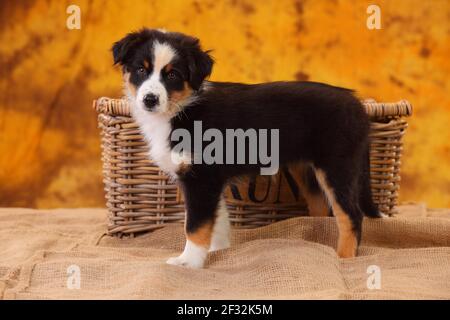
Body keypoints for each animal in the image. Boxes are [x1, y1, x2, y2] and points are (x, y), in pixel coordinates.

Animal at [110, 27, 382, 268]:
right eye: (141, 69)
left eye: (173, 75)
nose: (150, 100)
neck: (182, 110)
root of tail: (358, 105)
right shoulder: (211, 180)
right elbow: (218, 221)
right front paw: (218, 251)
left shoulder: (201, 178)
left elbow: (195, 224)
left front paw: (189, 262)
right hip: (308, 171)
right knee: (322, 210)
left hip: (337, 166)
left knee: (351, 215)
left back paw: (344, 259)